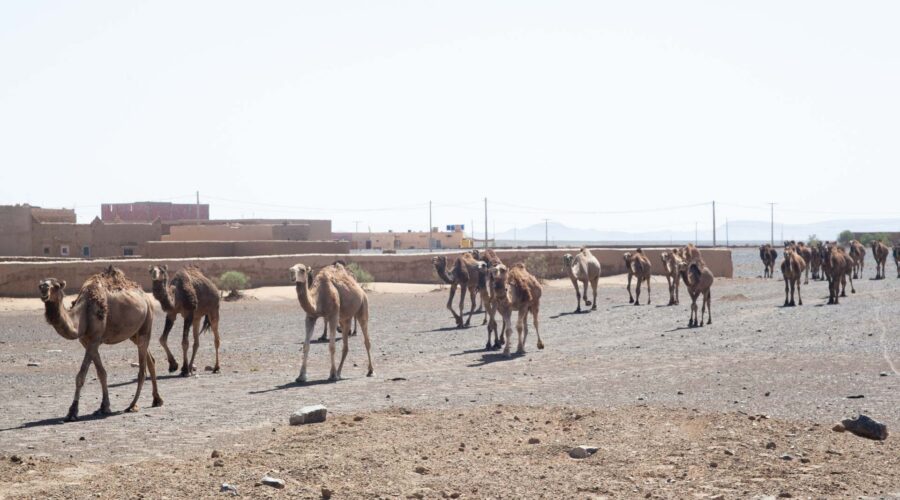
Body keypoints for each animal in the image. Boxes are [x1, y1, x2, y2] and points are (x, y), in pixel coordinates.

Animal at [39, 268, 162, 420]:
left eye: (56, 286)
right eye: (40, 285)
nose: (44, 288)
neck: (83, 314)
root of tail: (146, 296)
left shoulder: (94, 339)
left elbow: (81, 376)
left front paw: (72, 411)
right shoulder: (87, 342)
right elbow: (101, 373)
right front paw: (104, 406)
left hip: (147, 323)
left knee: (142, 370)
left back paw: (132, 405)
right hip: (134, 333)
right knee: (151, 360)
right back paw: (157, 400)